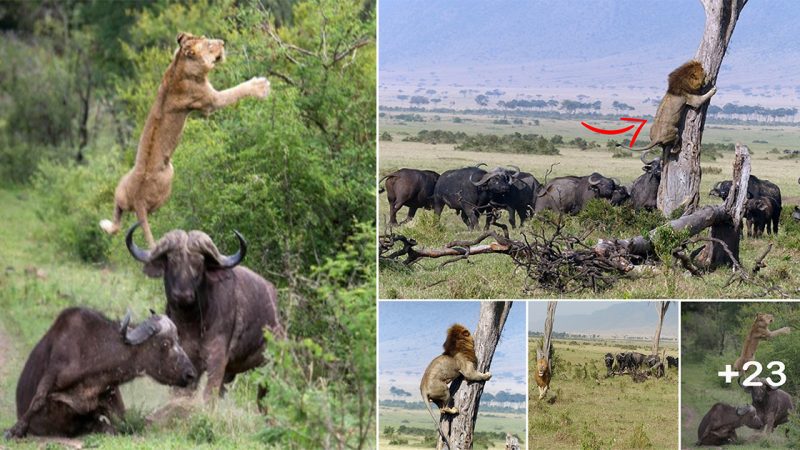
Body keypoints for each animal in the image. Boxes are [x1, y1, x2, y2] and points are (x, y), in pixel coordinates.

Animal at [4, 308, 195, 438]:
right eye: (165, 343)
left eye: (178, 340)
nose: (191, 374)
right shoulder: (53, 373)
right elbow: (38, 400)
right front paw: (15, 430)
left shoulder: (111, 395)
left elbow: (124, 421)